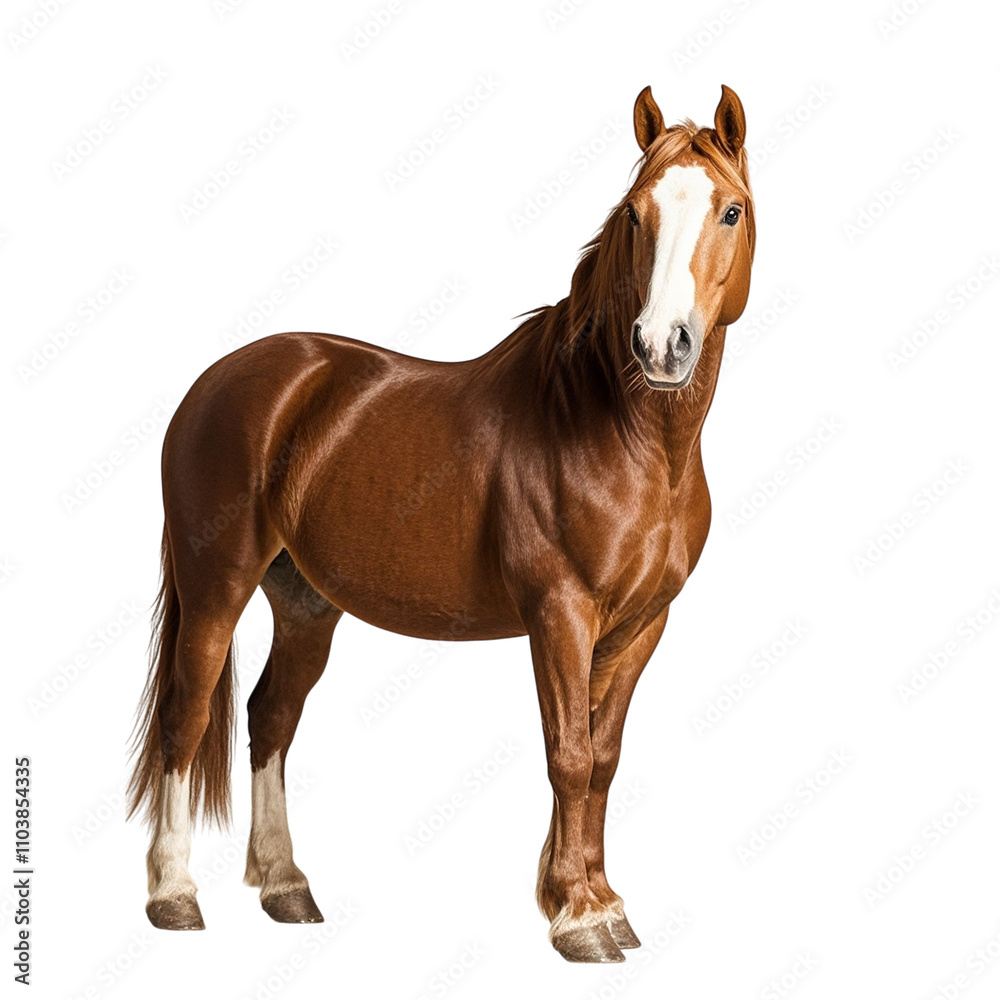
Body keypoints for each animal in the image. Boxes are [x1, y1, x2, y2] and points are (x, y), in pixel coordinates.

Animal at [128, 83, 756, 964]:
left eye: (731, 210)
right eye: (636, 213)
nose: (662, 346)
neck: (624, 436)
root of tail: (215, 382)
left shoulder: (640, 625)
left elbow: (602, 758)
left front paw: (597, 901)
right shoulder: (560, 615)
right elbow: (568, 755)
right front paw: (579, 919)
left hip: (305, 602)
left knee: (269, 715)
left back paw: (286, 887)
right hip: (217, 583)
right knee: (186, 717)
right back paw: (175, 895)